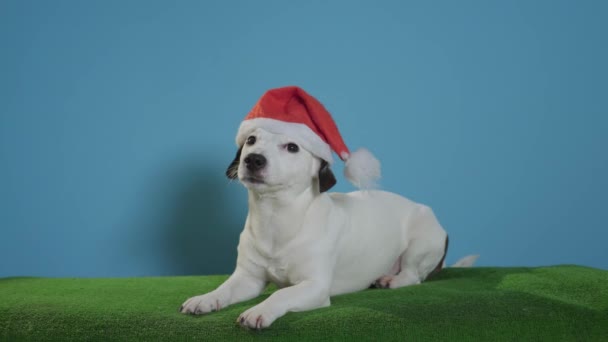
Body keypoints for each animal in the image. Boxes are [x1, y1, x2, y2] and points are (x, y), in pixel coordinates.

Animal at [178, 125, 478, 328]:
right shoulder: (248, 279)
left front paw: (260, 310)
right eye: (251, 140)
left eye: (292, 147)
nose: (253, 159)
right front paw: (205, 298)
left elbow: (283, 293)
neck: (276, 217)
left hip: (420, 240)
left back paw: (392, 280)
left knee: (414, 276)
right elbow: (225, 289)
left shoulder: (315, 287)